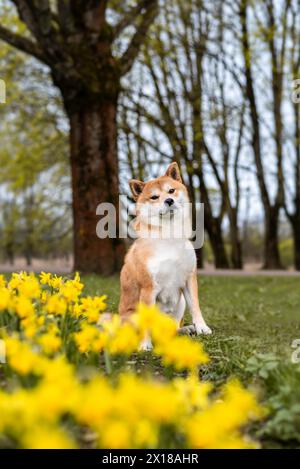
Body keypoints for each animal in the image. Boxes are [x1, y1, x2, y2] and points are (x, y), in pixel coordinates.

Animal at [118, 161, 212, 348]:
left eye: (171, 191)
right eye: (154, 197)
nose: (169, 200)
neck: (169, 236)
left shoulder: (189, 278)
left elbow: (195, 306)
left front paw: (201, 327)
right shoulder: (148, 287)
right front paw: (145, 344)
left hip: (180, 303)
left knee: (173, 329)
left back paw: (185, 330)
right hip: (132, 314)